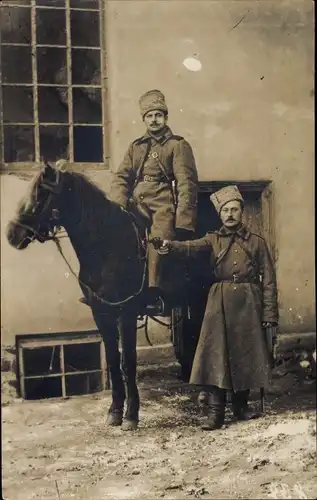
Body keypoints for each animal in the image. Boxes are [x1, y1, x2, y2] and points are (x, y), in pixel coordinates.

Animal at [6, 161, 151, 430]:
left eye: (40, 194)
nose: (11, 234)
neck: (107, 246)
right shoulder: (100, 312)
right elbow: (113, 360)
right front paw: (115, 411)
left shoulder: (126, 311)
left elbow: (128, 361)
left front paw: (131, 415)